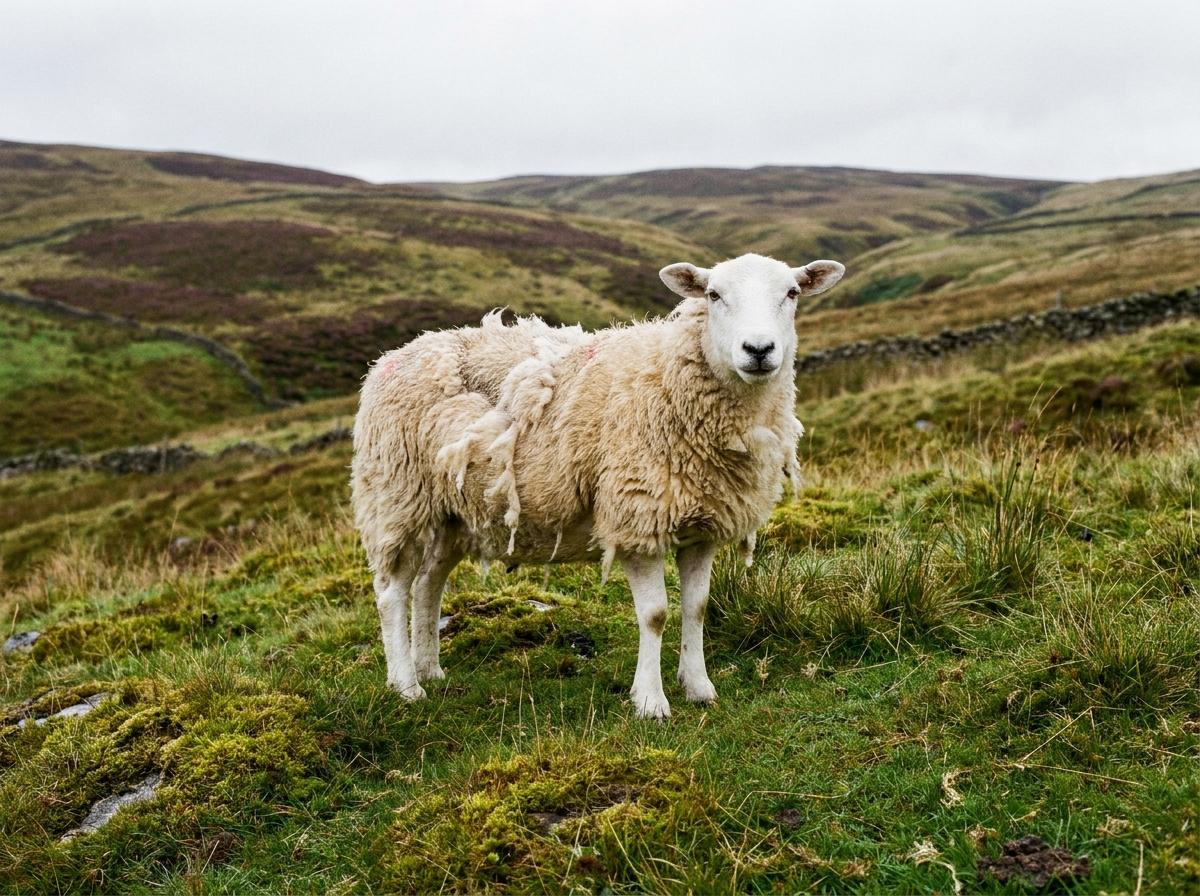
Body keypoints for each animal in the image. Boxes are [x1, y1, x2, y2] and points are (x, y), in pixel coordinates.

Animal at [351, 252, 844, 718]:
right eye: (714, 295)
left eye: (792, 293)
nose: (758, 349)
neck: (670, 379)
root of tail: (391, 357)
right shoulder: (636, 515)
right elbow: (655, 615)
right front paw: (650, 700)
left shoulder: (703, 524)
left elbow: (697, 607)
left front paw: (698, 686)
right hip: (397, 497)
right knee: (392, 592)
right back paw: (406, 685)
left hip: (454, 512)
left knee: (428, 584)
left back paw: (430, 669)